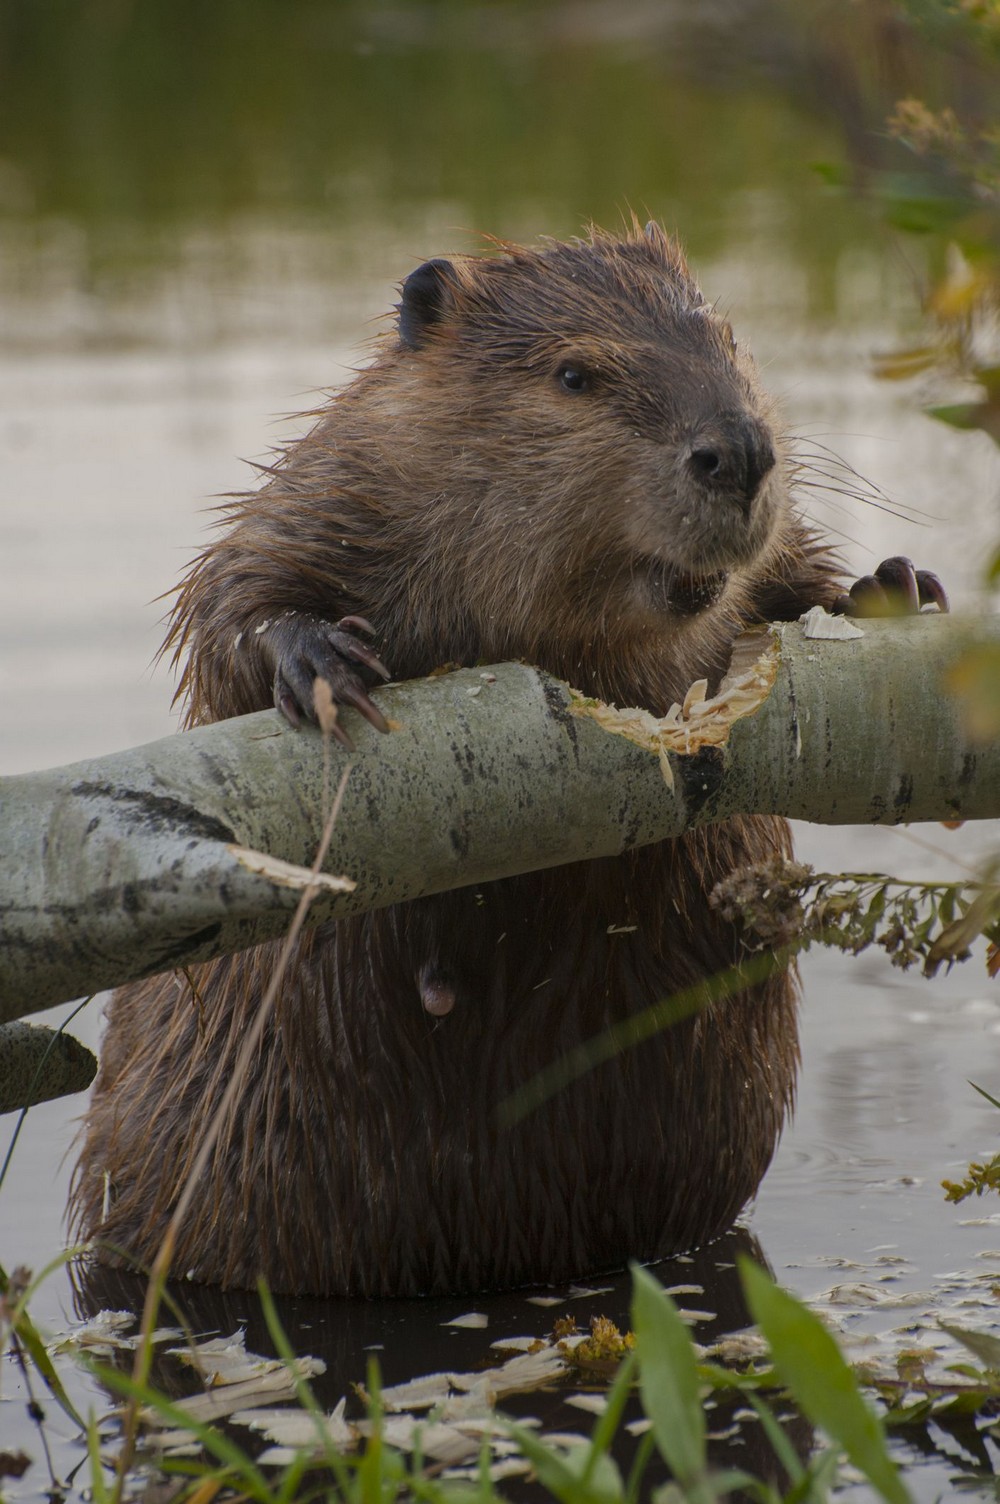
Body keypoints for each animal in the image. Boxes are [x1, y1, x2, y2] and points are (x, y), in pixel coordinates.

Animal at [70, 219, 938, 1293]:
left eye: (730, 337)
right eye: (575, 374)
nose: (737, 451)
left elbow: (788, 570)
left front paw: (892, 582)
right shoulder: (342, 478)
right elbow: (234, 594)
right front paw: (322, 662)